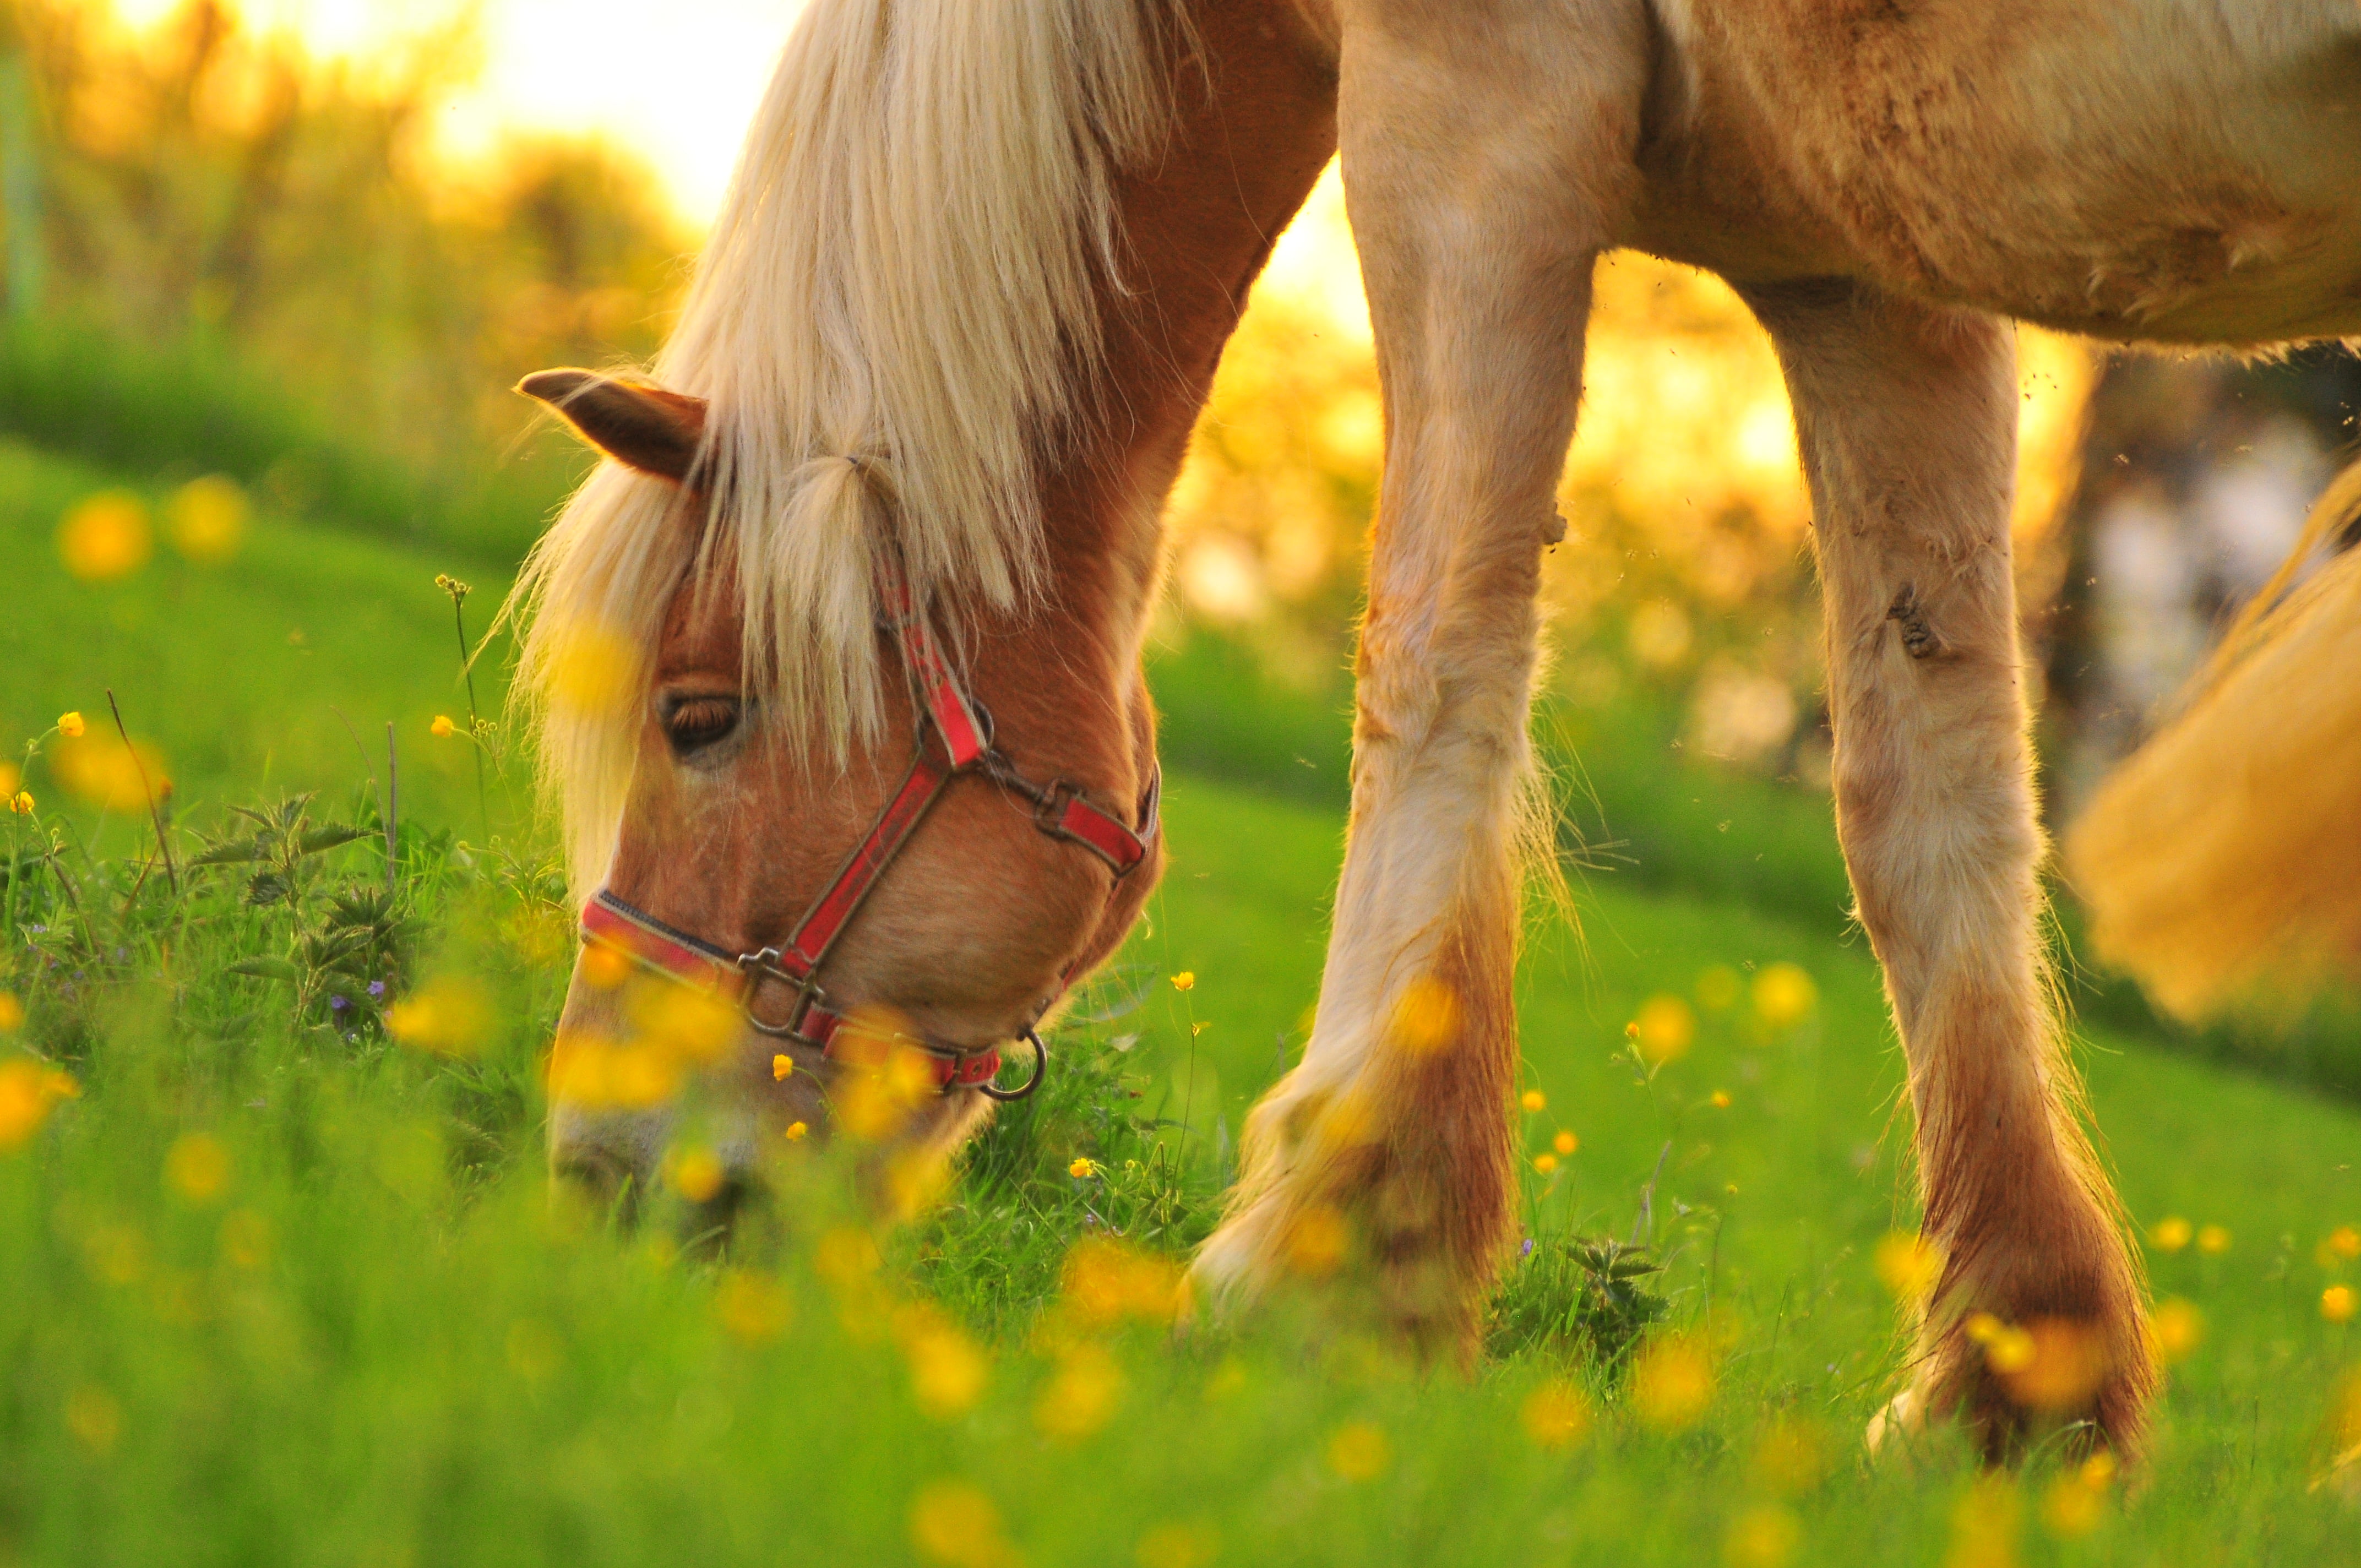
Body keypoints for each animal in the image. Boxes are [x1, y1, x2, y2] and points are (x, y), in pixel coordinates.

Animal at [510, 0, 2361, 1464]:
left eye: (698, 716)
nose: (599, 1172)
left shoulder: (1470, 103)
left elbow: (1434, 652)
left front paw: (1340, 1260)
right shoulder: (1866, 264)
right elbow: (1933, 799)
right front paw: (2015, 1387)